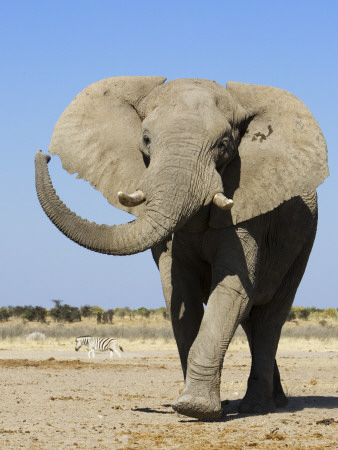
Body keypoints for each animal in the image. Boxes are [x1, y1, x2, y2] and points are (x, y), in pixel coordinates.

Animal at [35, 76, 328, 418]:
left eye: (224, 145)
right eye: (146, 139)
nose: (42, 155)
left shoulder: (248, 211)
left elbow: (231, 290)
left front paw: (194, 408)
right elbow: (179, 293)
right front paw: (190, 406)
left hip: (303, 241)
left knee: (269, 317)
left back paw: (256, 406)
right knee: (251, 320)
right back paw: (273, 402)